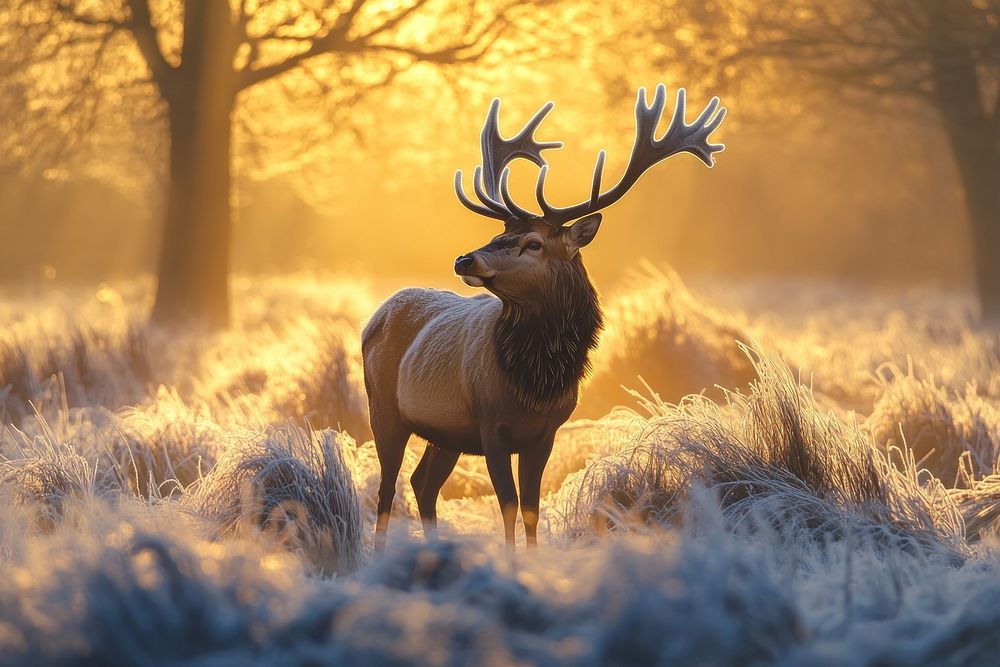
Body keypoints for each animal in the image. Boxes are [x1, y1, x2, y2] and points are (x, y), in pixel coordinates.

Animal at [364, 86, 724, 552]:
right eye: (498, 235)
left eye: (533, 242)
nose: (464, 259)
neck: (534, 383)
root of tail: (374, 318)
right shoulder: (490, 425)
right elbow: (509, 505)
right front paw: (513, 561)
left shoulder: (545, 432)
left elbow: (531, 508)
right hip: (382, 408)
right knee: (387, 488)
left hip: (446, 434)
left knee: (422, 484)